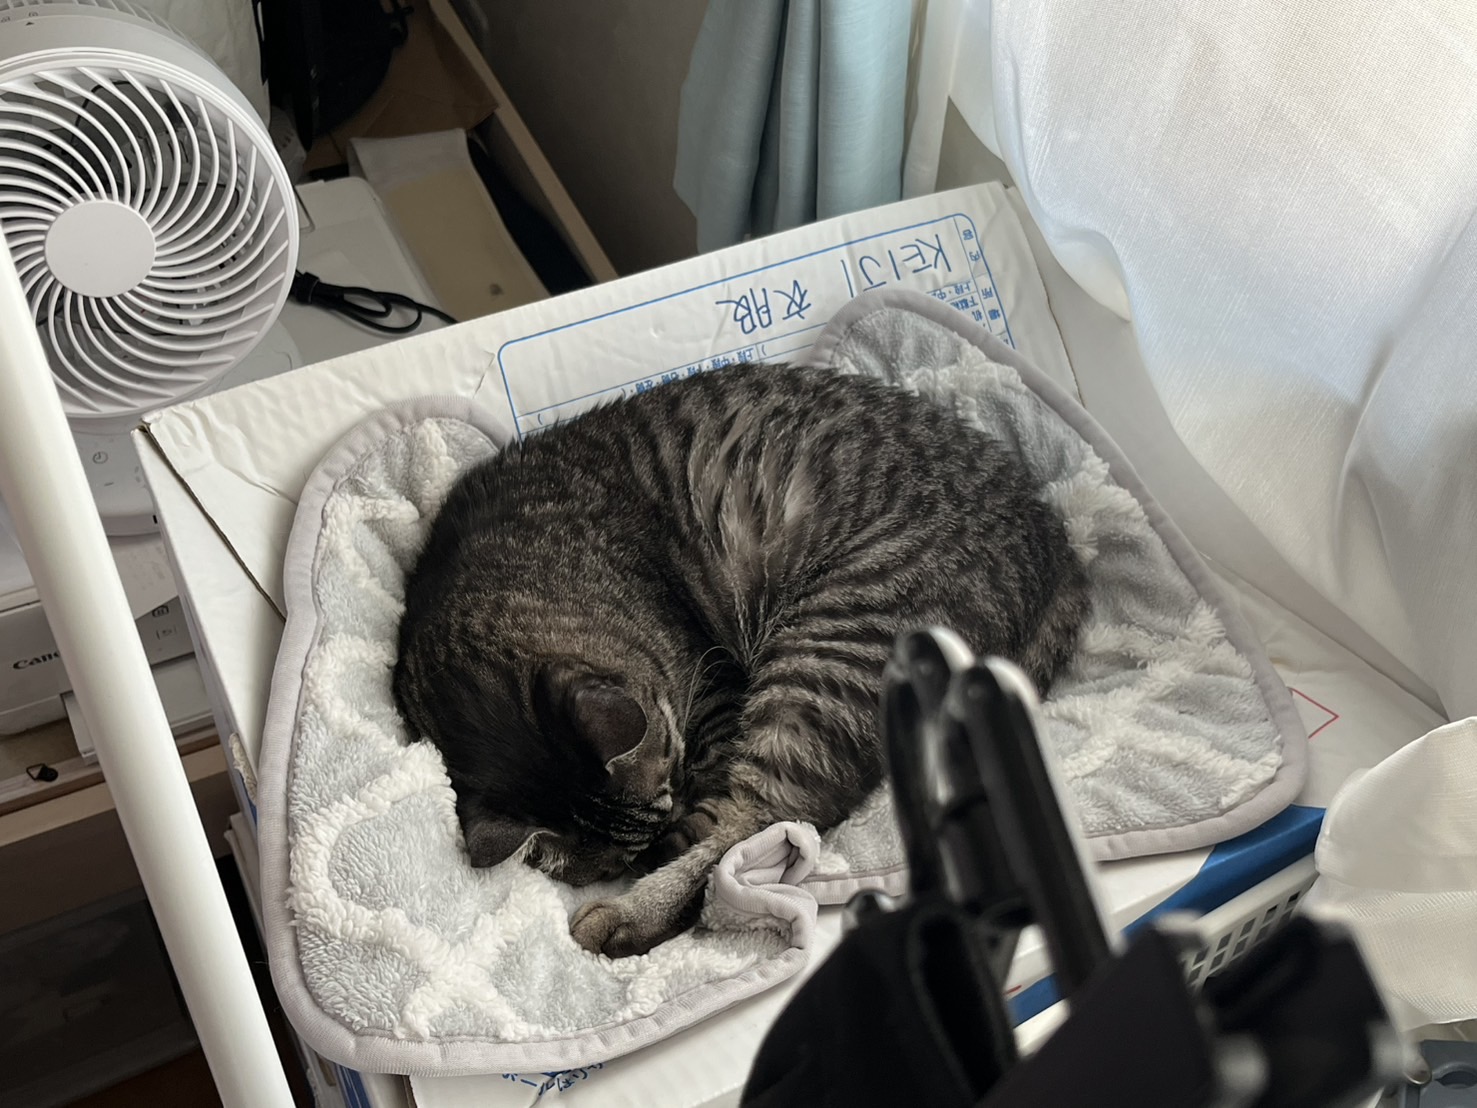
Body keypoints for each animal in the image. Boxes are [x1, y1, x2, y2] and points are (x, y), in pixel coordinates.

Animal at [392, 362, 1090, 958]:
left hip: (827, 657)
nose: (663, 827)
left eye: (671, 768)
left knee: (764, 824)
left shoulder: (714, 679)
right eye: (611, 863)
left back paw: (630, 915)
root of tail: (1057, 549)